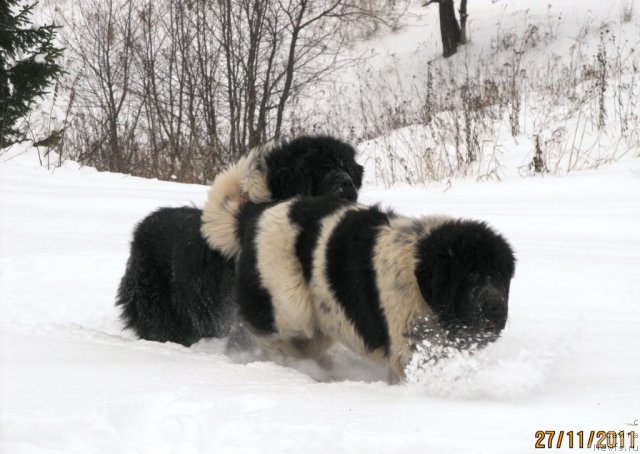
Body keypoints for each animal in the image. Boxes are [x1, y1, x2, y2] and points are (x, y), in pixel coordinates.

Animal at [202, 161, 516, 382]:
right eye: (471, 276)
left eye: (500, 276)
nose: (495, 306)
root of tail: (254, 214)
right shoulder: (408, 349)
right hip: (290, 304)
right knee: (267, 336)